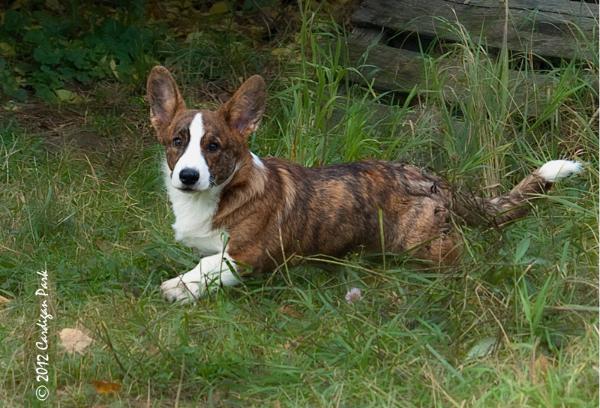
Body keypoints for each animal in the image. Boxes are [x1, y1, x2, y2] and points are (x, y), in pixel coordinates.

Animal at [145, 66, 580, 302]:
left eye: (214, 146)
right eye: (177, 142)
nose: (188, 176)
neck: (219, 193)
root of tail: (434, 178)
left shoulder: (249, 254)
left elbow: (209, 264)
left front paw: (179, 287)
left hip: (422, 244)